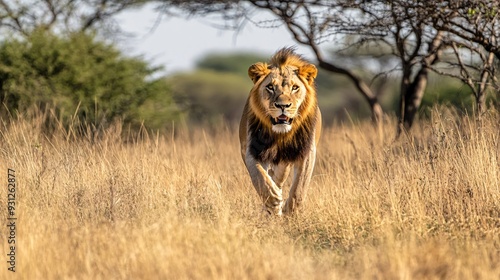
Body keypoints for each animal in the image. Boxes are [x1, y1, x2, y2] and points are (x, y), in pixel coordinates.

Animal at [240, 47, 322, 215]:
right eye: (270, 87)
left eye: (295, 87)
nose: (282, 106)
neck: (280, 134)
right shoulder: (251, 149)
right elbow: (259, 176)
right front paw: (273, 199)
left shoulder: (307, 152)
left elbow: (299, 188)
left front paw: (290, 212)